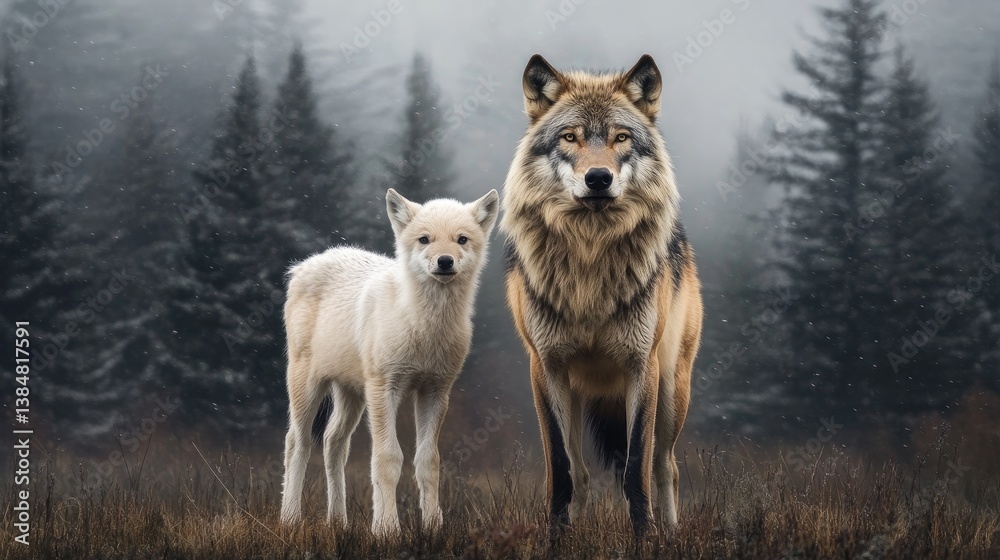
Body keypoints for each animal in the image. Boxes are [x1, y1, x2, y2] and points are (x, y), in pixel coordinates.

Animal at [279, 188, 499, 536]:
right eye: (425, 239)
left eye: (462, 240)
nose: (445, 261)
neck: (424, 328)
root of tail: (301, 266)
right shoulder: (385, 389)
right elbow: (388, 458)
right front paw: (386, 529)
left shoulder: (435, 392)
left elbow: (428, 461)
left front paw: (433, 526)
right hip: (308, 387)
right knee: (296, 443)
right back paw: (289, 519)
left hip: (352, 394)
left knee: (332, 442)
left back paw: (338, 521)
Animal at [501, 54, 703, 537]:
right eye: (570, 137)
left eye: (621, 137)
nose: (598, 178)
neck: (590, 261)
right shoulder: (546, 368)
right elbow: (561, 469)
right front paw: (556, 537)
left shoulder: (640, 367)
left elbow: (635, 468)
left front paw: (644, 537)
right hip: (577, 395)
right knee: (583, 473)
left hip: (674, 390)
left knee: (666, 466)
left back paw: (671, 532)